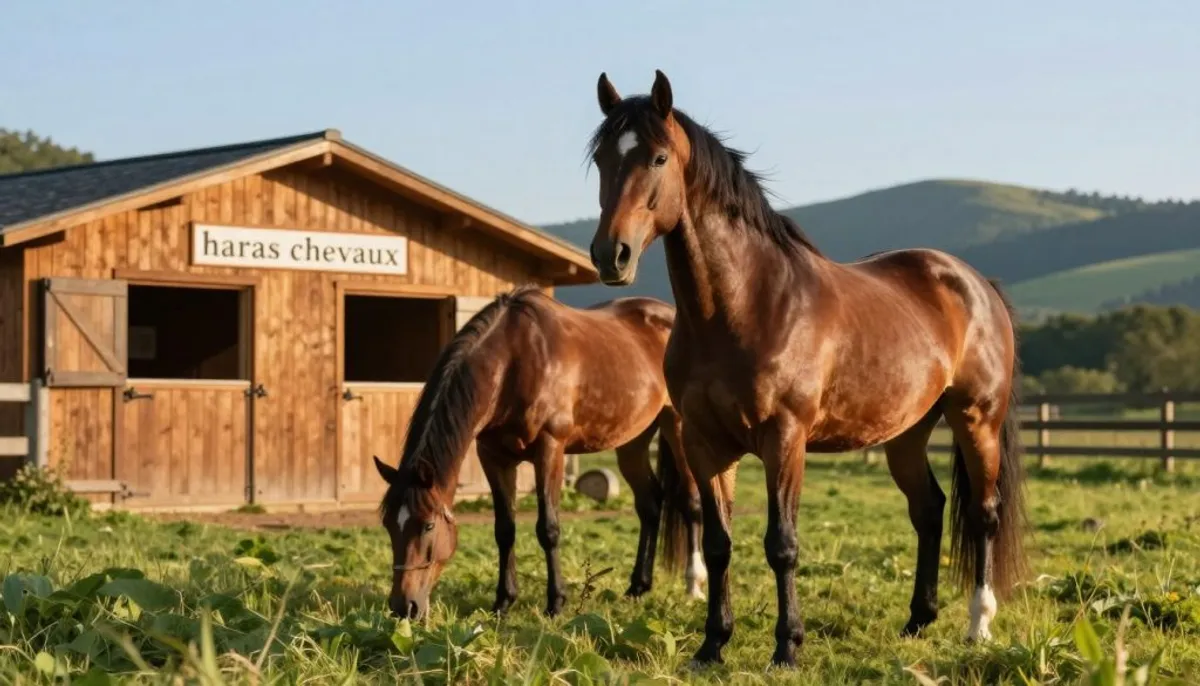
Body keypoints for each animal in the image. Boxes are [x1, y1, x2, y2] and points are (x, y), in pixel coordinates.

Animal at [372, 285, 707, 621]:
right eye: (388, 524)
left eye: (428, 525)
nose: (403, 607)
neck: (513, 361)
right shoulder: (493, 456)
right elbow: (504, 529)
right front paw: (503, 601)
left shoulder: (550, 449)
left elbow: (548, 528)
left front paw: (556, 602)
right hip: (632, 440)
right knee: (650, 504)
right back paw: (638, 586)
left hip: (677, 426)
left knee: (690, 501)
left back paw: (694, 584)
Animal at [583, 70, 1029, 668]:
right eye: (602, 158)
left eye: (657, 158)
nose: (612, 255)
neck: (748, 305)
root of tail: (977, 283)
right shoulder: (705, 443)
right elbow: (720, 545)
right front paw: (711, 644)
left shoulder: (785, 439)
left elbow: (782, 544)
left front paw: (787, 647)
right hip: (906, 433)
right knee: (929, 509)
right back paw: (917, 620)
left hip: (975, 419)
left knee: (982, 514)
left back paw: (978, 625)